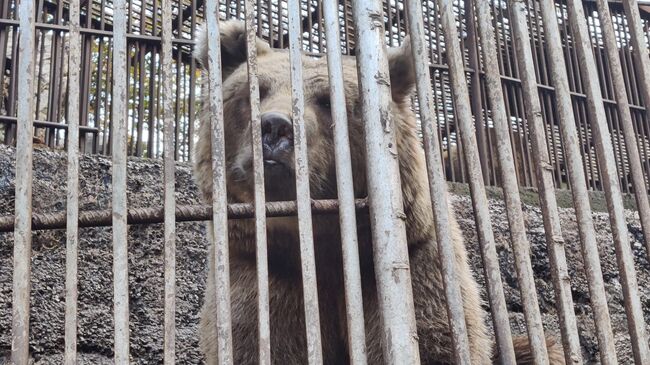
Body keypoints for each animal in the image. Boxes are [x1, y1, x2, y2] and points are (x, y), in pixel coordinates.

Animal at [191, 20, 560, 364]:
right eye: (256, 91)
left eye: (327, 101)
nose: (275, 127)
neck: (322, 247)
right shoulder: (265, 274)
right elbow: (265, 343)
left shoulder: (416, 264)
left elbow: (434, 341)